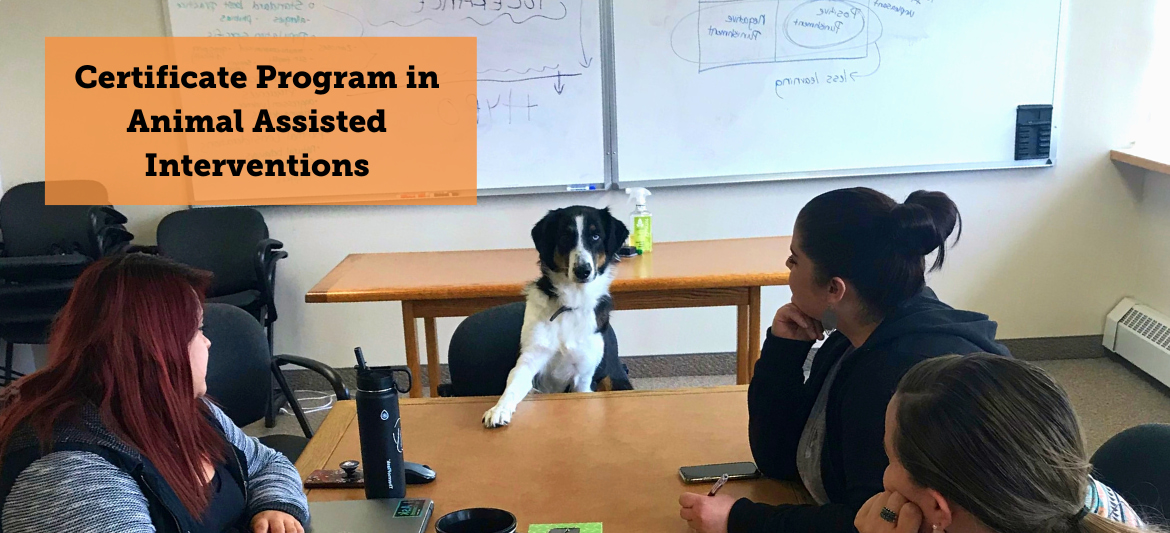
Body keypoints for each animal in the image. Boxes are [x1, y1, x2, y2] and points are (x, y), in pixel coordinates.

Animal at [482, 204, 631, 427]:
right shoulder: (529, 360)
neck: (570, 305)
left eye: (595, 236)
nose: (583, 270)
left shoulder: (583, 377)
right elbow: (513, 387)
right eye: (565, 236)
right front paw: (499, 409)